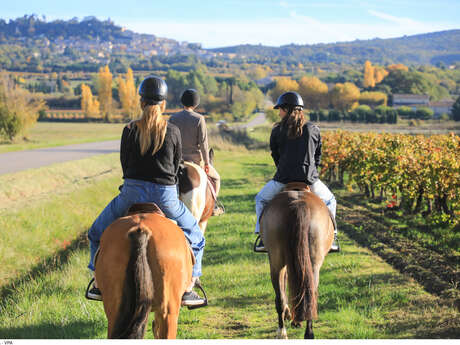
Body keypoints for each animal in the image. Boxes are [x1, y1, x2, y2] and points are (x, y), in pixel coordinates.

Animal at [258, 183, 334, 338]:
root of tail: (297, 204)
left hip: (276, 262)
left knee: (280, 297)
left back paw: (282, 333)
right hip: (313, 264)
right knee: (310, 292)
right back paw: (308, 333)